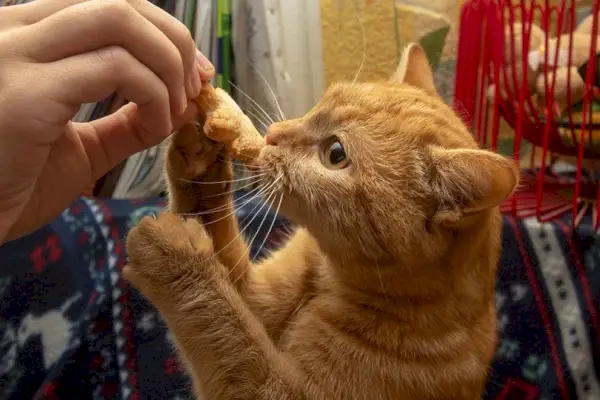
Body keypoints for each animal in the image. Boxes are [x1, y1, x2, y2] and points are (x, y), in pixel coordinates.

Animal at [125, 44, 520, 400]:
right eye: (320, 103)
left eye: (335, 154)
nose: (273, 133)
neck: (329, 280)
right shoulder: (256, 297)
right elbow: (227, 282)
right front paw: (199, 161)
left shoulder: (278, 390)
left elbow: (224, 326)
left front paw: (179, 259)